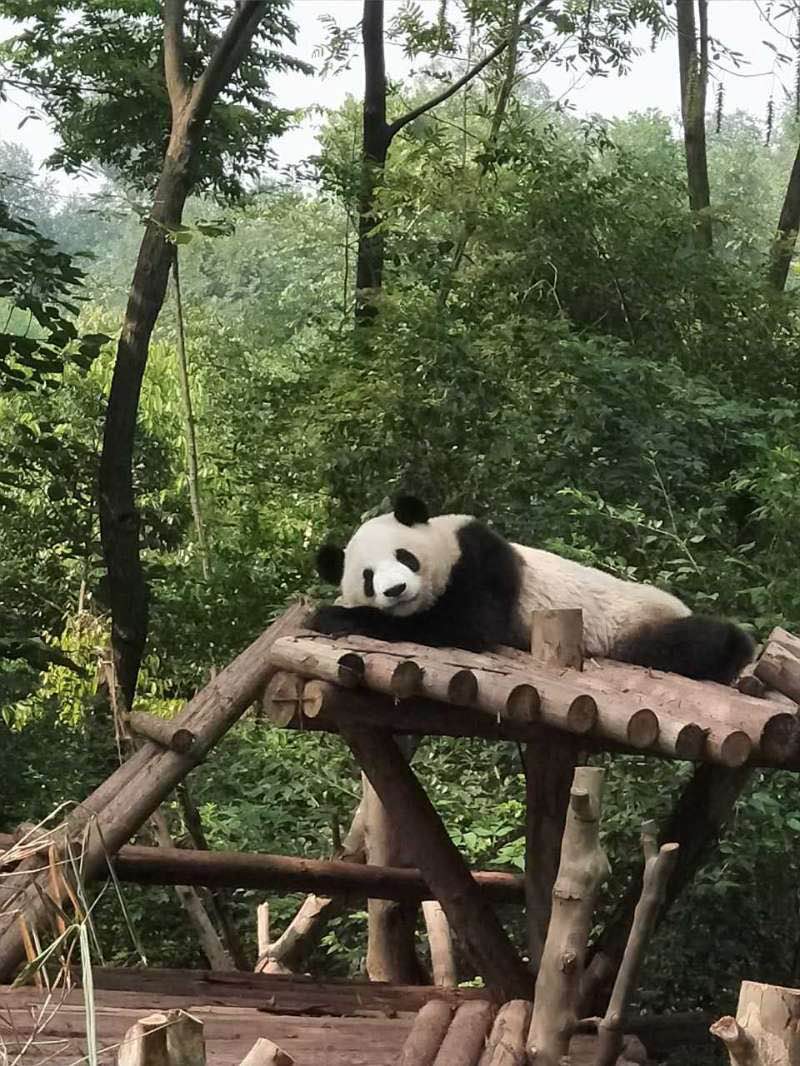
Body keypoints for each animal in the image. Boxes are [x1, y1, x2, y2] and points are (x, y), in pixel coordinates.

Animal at [309, 492, 755, 682]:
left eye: (405, 557)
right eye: (368, 578)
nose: (396, 590)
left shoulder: (480, 558)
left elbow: (467, 626)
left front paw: (333, 615)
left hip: (632, 621)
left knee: (694, 642)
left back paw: (736, 652)